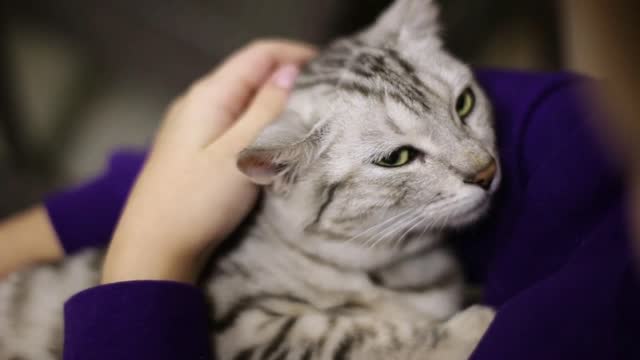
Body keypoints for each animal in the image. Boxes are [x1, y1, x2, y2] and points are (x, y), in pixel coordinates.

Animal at [0, 0, 500, 358]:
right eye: (397, 158)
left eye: (465, 103)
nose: (486, 171)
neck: (400, 263)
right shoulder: (243, 325)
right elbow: (353, 338)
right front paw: (473, 328)